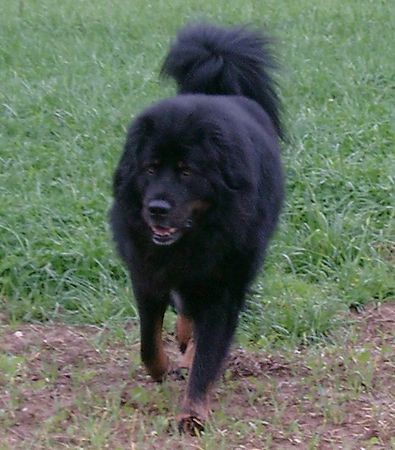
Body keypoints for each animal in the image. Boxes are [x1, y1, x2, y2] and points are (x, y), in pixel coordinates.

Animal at [111, 24, 284, 432]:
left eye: (187, 171)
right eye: (150, 168)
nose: (156, 209)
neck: (197, 235)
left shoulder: (223, 286)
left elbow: (209, 355)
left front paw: (192, 413)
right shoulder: (148, 275)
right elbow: (148, 342)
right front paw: (161, 370)